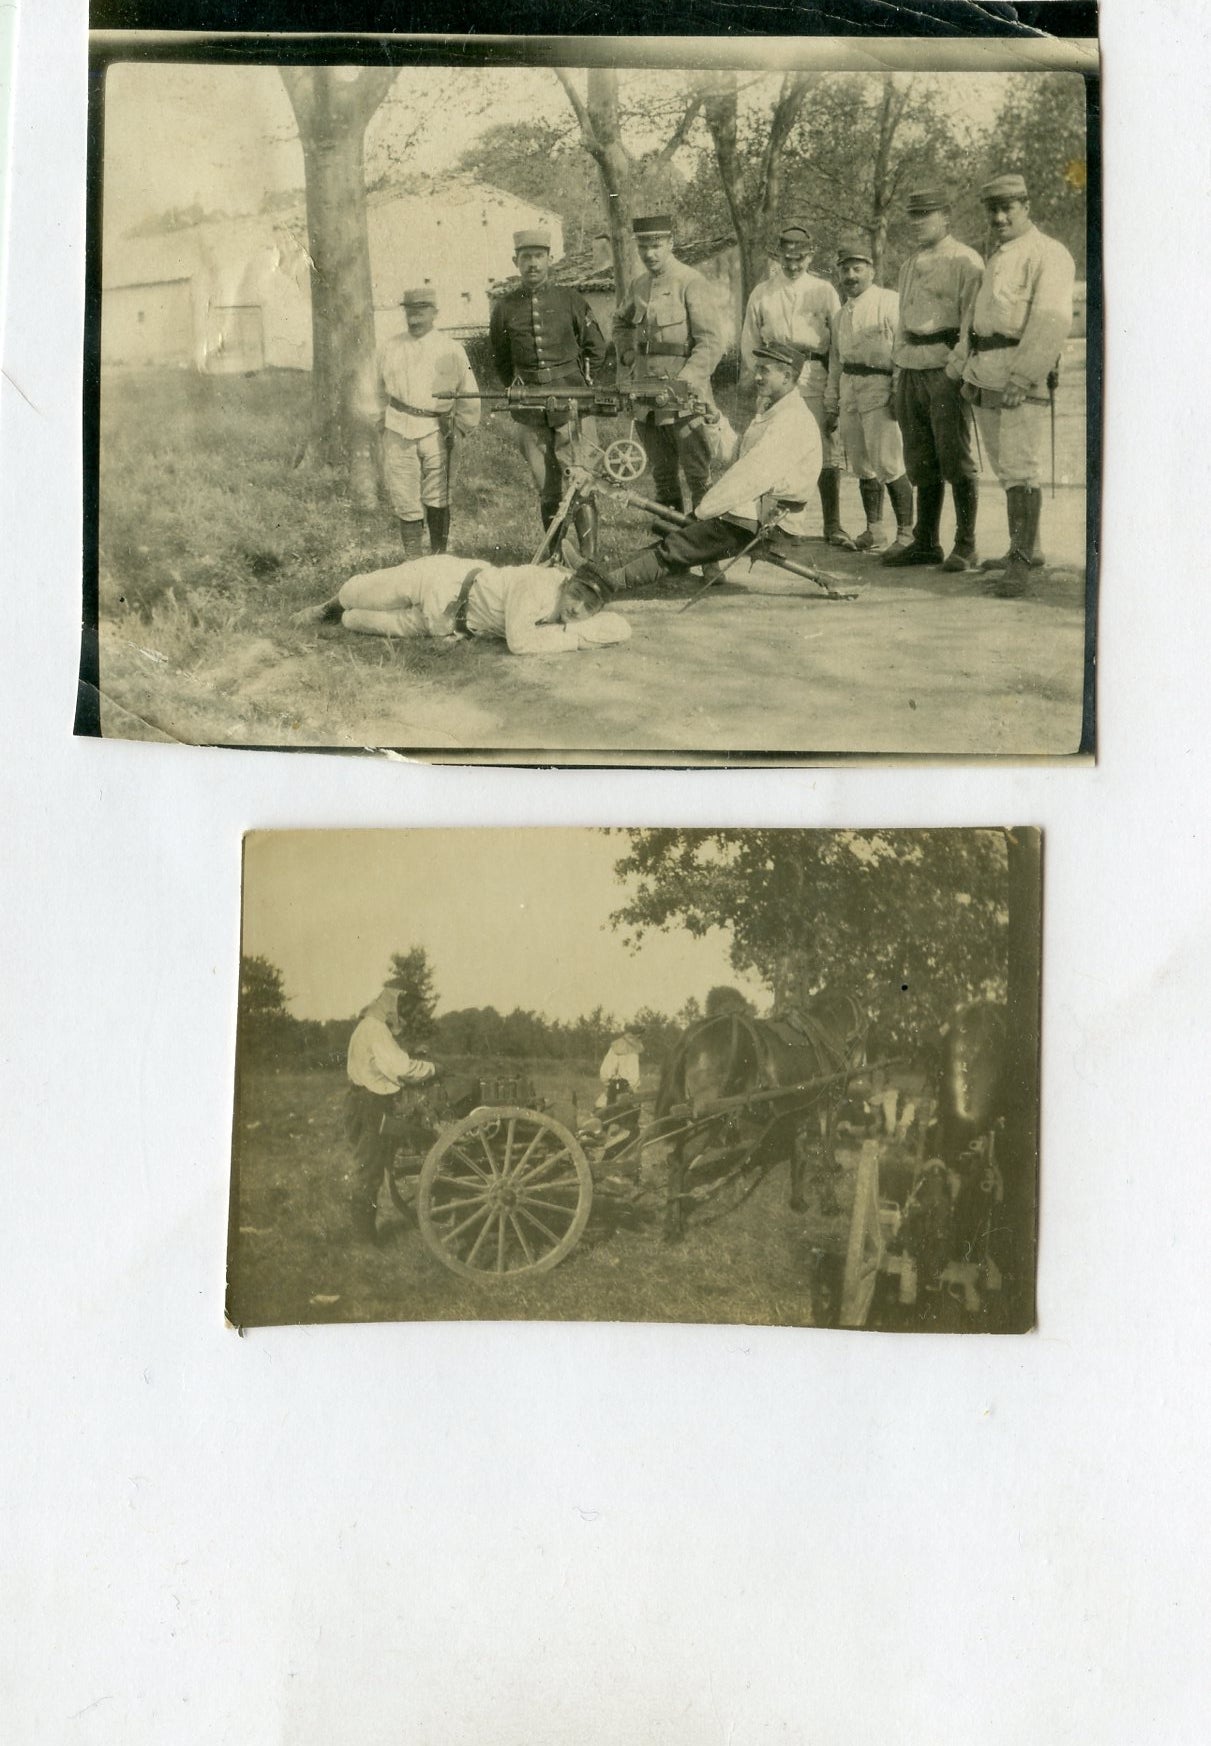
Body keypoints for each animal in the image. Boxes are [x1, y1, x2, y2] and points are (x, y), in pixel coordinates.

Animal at [649, 998, 868, 1243]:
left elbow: (800, 1155)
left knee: (675, 1159)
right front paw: (830, 1205)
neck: (824, 1031)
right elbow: (827, 1155)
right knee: (680, 1163)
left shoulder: (800, 1111)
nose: (859, 1067)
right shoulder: (829, 1106)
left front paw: (798, 1202)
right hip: (706, 1121)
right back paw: (674, 1229)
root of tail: (692, 1035)